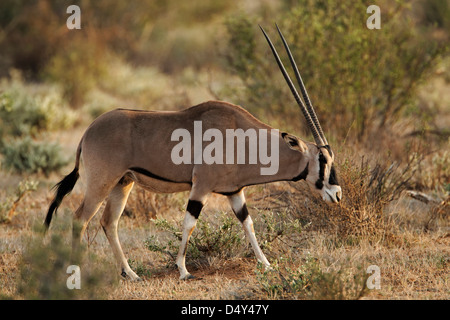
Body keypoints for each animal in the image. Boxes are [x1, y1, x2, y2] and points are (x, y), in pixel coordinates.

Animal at [44, 25, 342, 280]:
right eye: (322, 159)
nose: (337, 194)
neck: (242, 134)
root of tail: (88, 131)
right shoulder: (201, 186)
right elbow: (189, 223)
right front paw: (184, 270)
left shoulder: (234, 192)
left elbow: (248, 223)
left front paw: (266, 264)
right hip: (101, 182)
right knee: (80, 219)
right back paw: (78, 270)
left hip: (123, 183)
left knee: (109, 222)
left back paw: (130, 274)